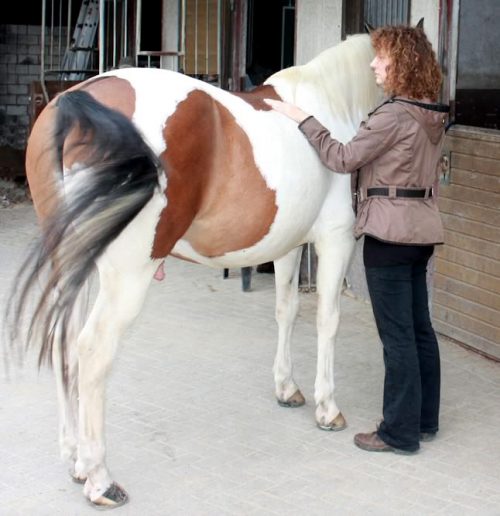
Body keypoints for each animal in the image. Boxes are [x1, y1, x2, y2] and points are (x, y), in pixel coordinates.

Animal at [6, 32, 382, 508]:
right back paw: (100, 479)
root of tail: (78, 102)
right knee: (91, 351)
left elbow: (287, 311)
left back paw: (75, 459)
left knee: (62, 342)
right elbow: (327, 321)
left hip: (70, 263)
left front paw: (286, 388)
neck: (331, 107)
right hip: (126, 276)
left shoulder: (288, 245)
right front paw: (327, 408)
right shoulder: (335, 240)